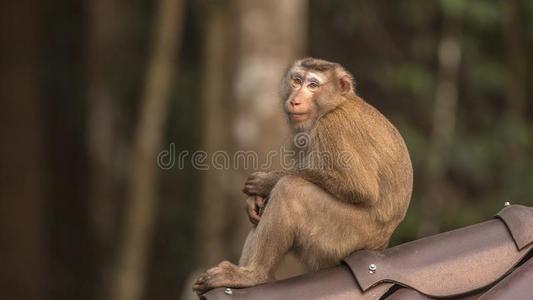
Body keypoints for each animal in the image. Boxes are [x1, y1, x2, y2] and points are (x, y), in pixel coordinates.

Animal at [193, 58, 414, 296]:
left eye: (313, 85)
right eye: (297, 81)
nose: (295, 100)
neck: (334, 106)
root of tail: (379, 245)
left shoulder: (331, 128)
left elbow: (359, 188)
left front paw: (265, 182)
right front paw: (255, 200)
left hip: (343, 238)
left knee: (290, 189)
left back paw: (254, 275)